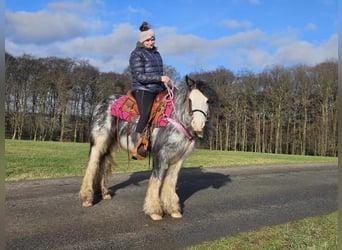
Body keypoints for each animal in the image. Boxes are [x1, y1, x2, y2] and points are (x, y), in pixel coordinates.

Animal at [79, 75, 216, 220]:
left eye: (207, 101)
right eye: (190, 99)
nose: (198, 124)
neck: (176, 119)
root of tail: (101, 104)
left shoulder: (178, 158)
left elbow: (171, 181)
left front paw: (173, 209)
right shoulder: (160, 154)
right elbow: (156, 180)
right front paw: (154, 210)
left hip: (109, 145)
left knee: (103, 164)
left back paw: (104, 193)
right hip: (99, 142)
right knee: (92, 164)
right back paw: (87, 198)